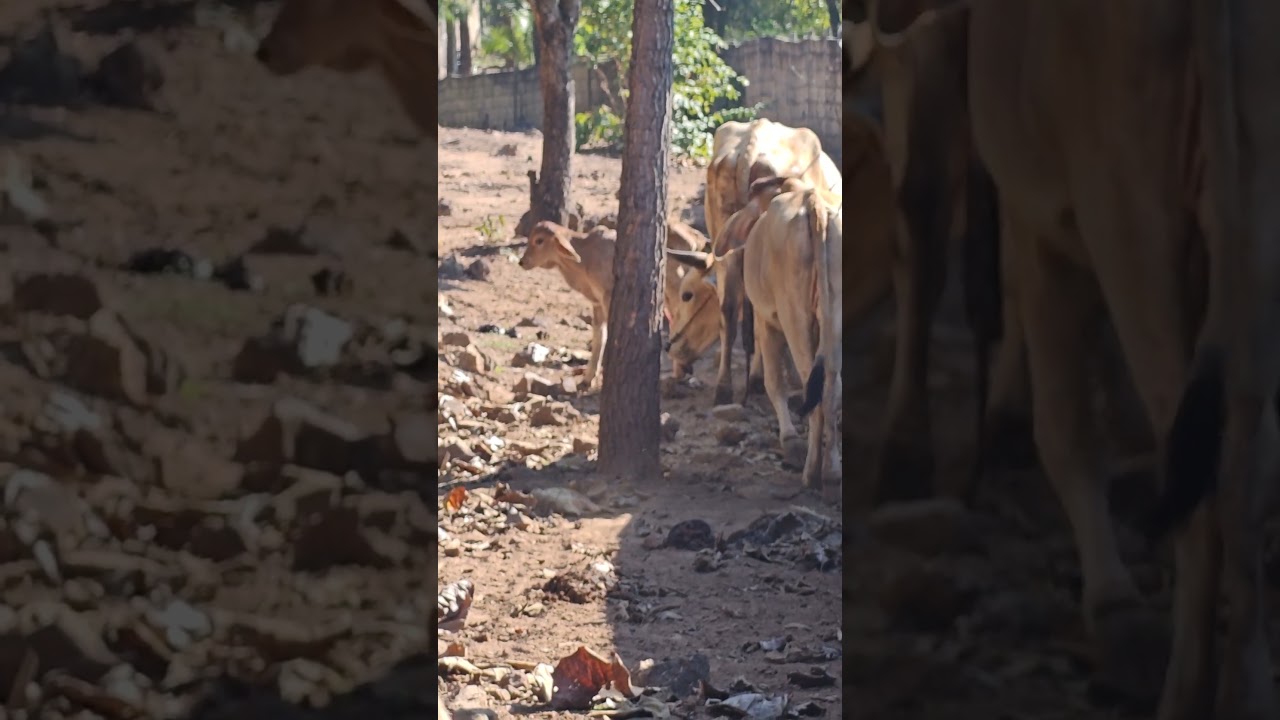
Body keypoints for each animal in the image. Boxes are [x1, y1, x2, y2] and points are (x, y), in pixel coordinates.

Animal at [872, 1, 1280, 718]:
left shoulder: (1045, 225)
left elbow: (1064, 429)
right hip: (1251, 233)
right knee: (1247, 466)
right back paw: (1248, 687)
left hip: (1131, 227)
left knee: (1195, 471)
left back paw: (1182, 687)